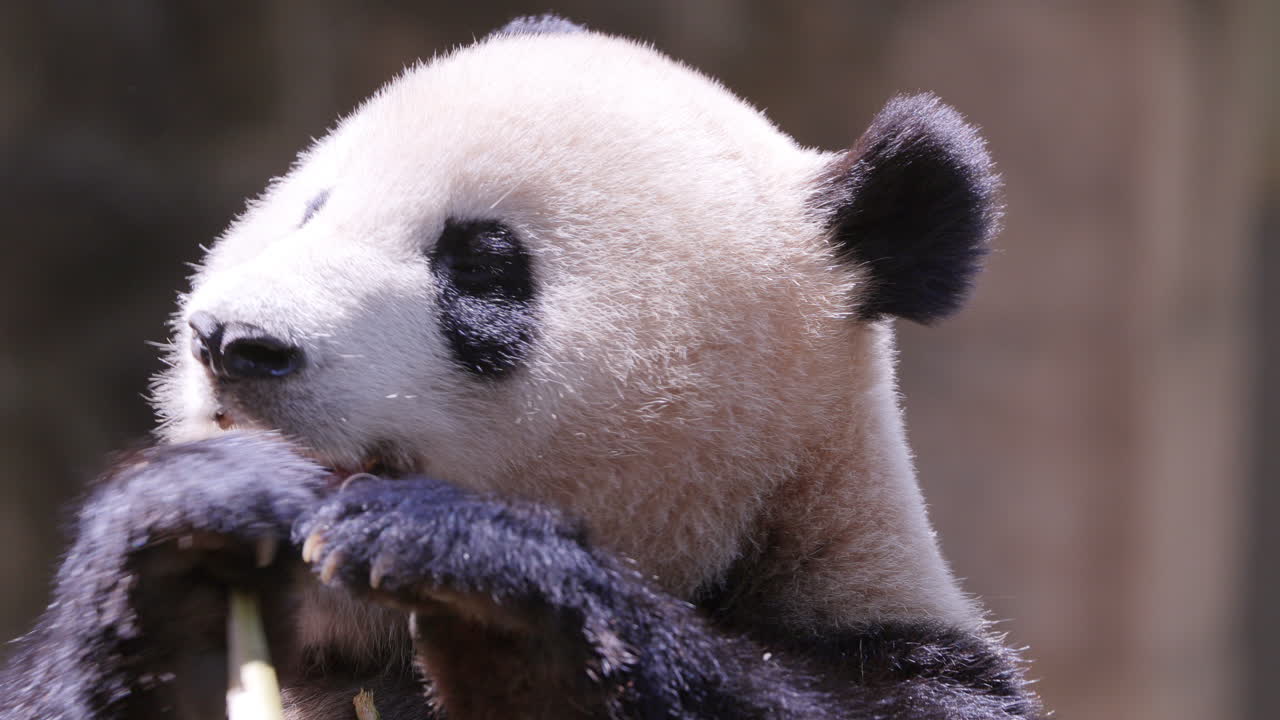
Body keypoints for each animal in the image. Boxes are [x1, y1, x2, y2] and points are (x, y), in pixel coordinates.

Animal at [1, 15, 1039, 720]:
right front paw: (189, 529)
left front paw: (481, 579)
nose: (233, 341)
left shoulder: (907, 654)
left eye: (483, 264)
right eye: (311, 210)